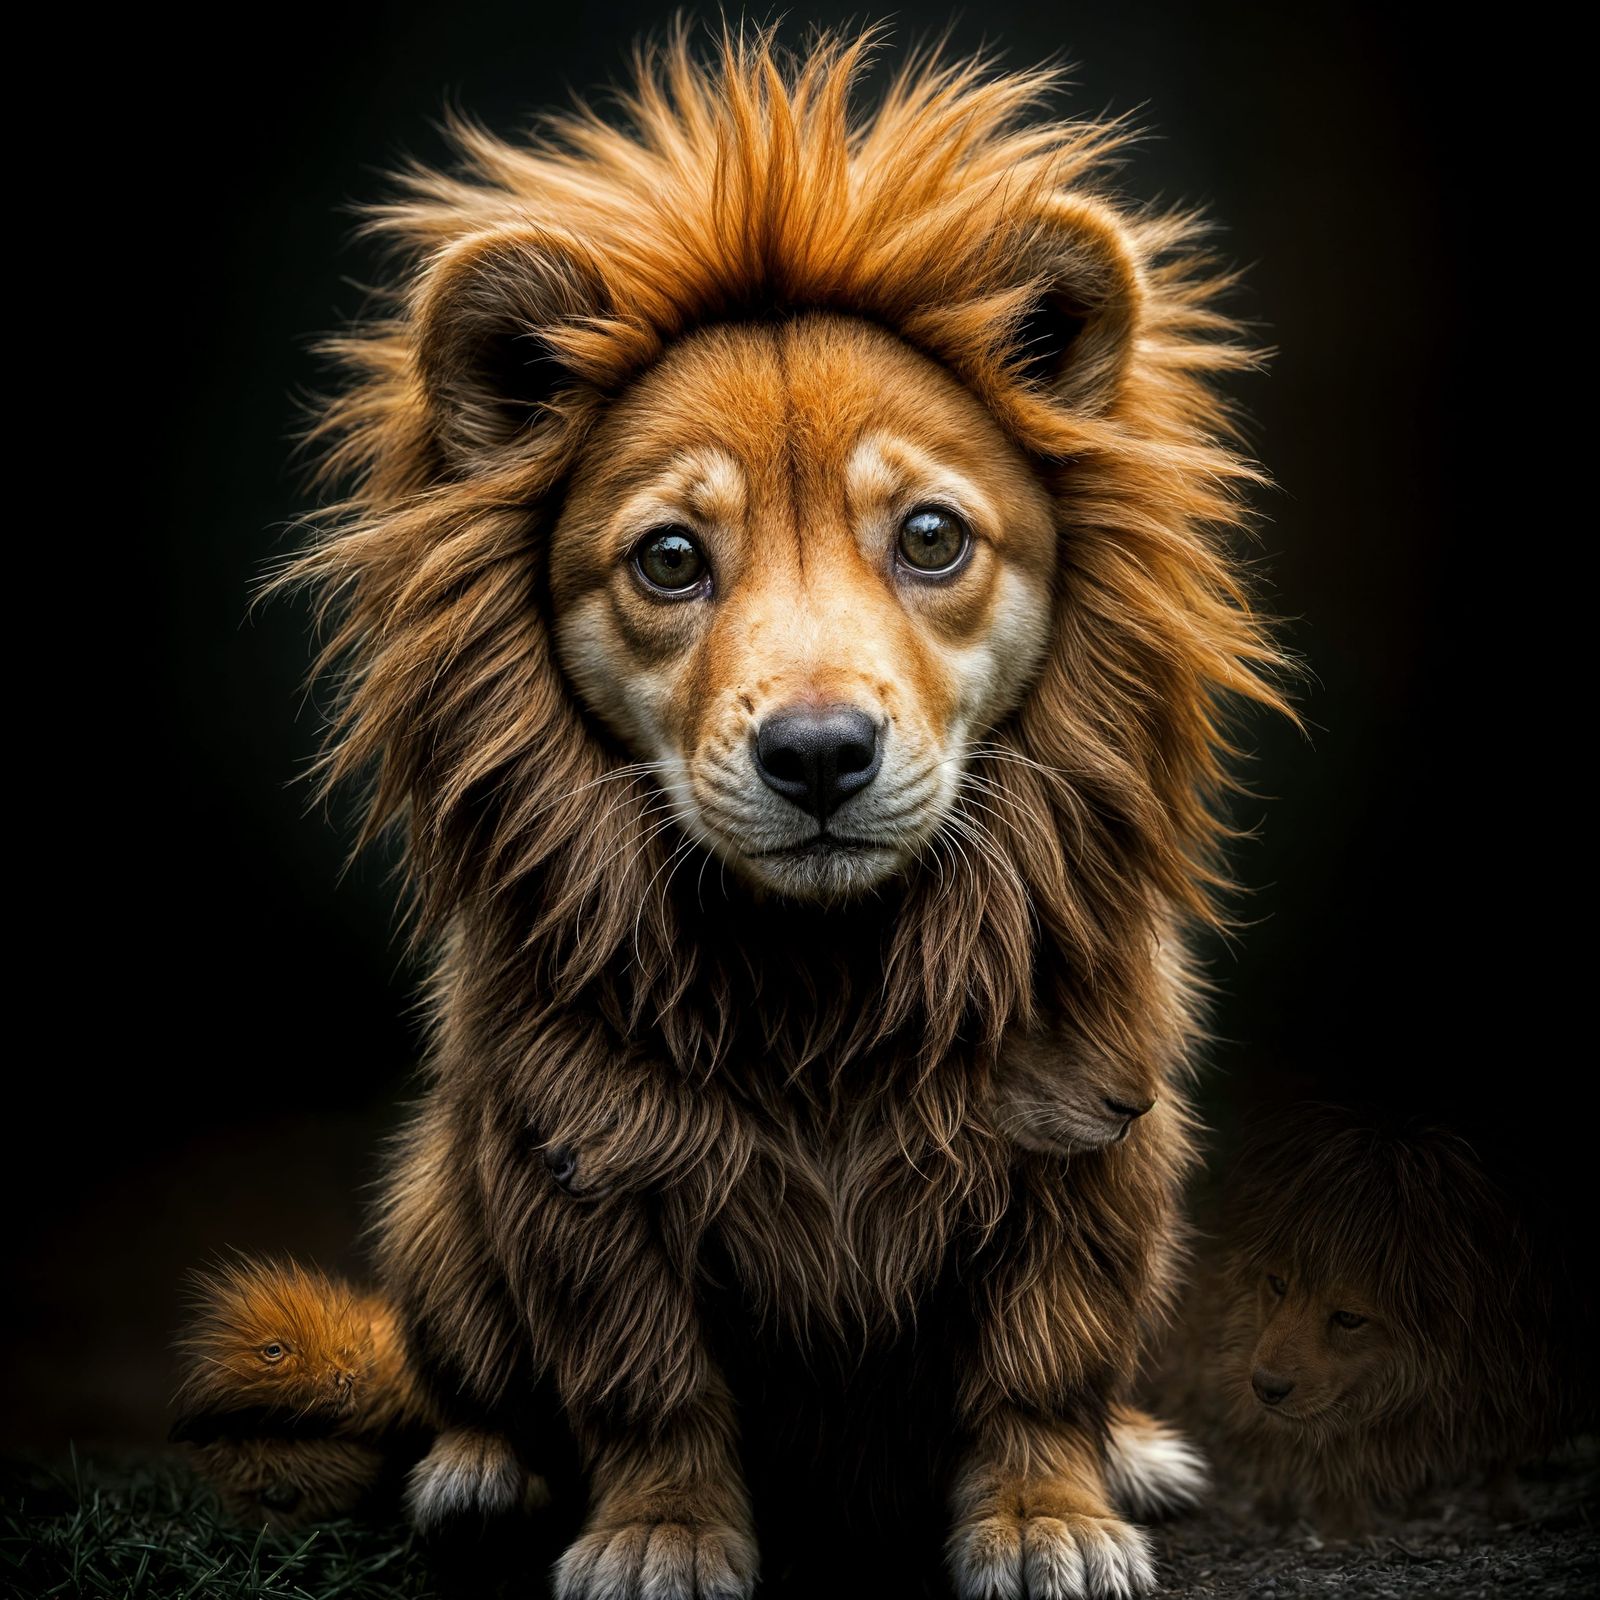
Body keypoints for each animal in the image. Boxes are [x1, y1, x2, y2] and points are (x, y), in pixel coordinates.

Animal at [280, 27, 1286, 1599]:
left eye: (930, 537)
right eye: (669, 559)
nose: (819, 755)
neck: (824, 982)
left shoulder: (1080, 1135)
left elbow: (1041, 1361)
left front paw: (1046, 1519)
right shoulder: (584, 1158)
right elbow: (643, 1379)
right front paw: (660, 1535)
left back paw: (1130, 1453)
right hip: (441, 1208)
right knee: (472, 1375)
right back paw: (481, 1471)